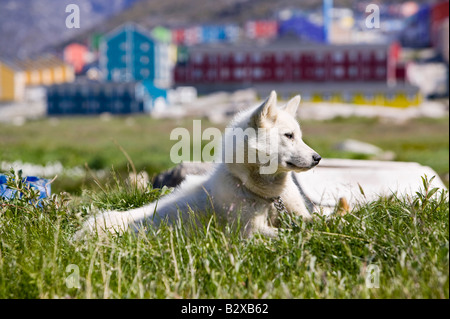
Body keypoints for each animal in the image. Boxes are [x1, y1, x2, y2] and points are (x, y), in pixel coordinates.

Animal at [78, 91, 324, 239]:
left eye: (299, 136)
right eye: (289, 135)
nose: (317, 158)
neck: (269, 198)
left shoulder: (301, 216)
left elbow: (318, 222)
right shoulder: (250, 231)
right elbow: (285, 234)